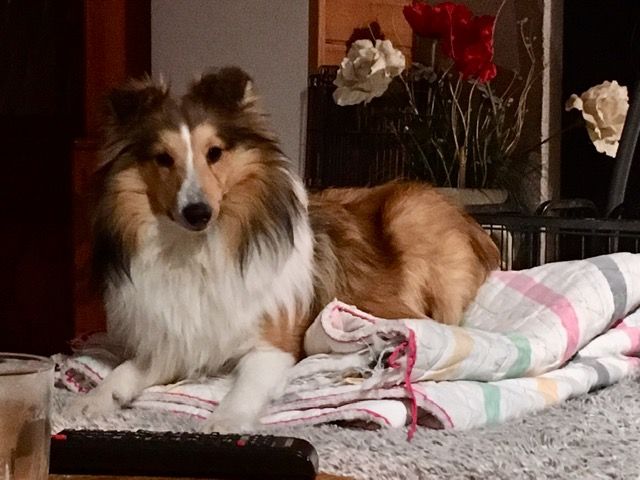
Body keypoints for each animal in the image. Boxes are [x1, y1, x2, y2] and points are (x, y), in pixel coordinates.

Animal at [72, 67, 499, 432]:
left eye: (214, 153)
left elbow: (244, 386)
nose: (197, 212)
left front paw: (224, 422)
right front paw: (93, 400)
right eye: (163, 158)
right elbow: (127, 369)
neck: (198, 251)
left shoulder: (273, 346)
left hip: (410, 215)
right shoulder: (178, 340)